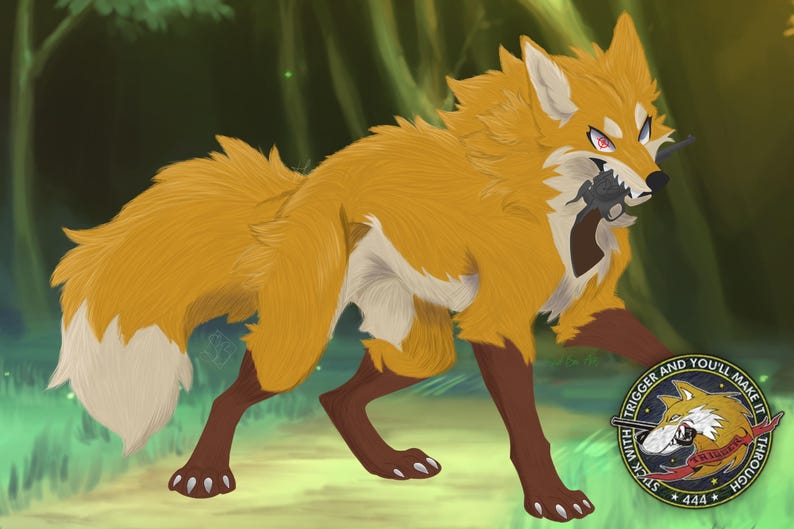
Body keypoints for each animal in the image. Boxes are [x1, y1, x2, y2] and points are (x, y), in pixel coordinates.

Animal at [49, 13, 678, 523]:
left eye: (645, 129)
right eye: (599, 138)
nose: (659, 180)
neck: (563, 217)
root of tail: (301, 189)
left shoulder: (585, 309)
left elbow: (656, 352)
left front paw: (692, 392)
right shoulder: (496, 324)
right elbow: (528, 431)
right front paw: (550, 499)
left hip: (417, 348)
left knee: (337, 399)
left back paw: (387, 463)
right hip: (301, 340)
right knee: (232, 397)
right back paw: (203, 475)